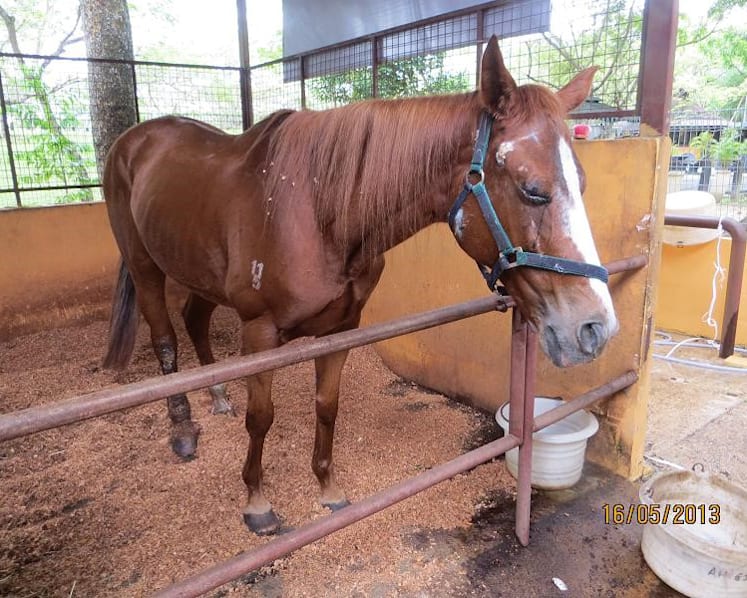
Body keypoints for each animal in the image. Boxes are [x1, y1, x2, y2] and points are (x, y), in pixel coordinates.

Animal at [101, 36, 618, 535]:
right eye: (533, 189)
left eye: (583, 184)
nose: (595, 328)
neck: (317, 210)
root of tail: (132, 140)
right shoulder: (260, 333)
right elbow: (261, 418)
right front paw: (257, 504)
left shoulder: (342, 329)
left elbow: (327, 406)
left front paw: (328, 490)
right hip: (145, 267)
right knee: (165, 340)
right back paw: (182, 430)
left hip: (200, 274)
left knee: (194, 321)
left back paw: (218, 397)